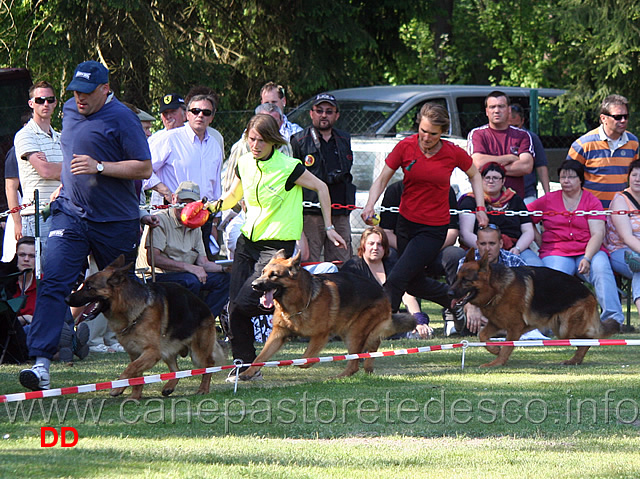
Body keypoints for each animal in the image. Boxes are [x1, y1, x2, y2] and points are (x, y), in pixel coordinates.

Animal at [66, 256, 226, 400]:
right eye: (84, 284)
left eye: (89, 287)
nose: (66, 299)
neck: (133, 312)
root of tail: (205, 307)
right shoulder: (135, 353)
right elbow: (136, 376)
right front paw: (135, 396)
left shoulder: (152, 352)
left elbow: (130, 369)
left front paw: (117, 387)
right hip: (166, 351)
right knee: (176, 370)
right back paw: (169, 387)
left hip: (197, 353)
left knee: (208, 366)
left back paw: (203, 389)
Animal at [240, 251, 416, 382]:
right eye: (263, 272)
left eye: (274, 275)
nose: (254, 285)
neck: (300, 302)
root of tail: (383, 293)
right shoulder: (278, 334)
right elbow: (260, 357)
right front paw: (247, 373)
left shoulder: (320, 335)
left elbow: (306, 357)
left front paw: (301, 364)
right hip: (349, 331)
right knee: (371, 346)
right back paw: (367, 367)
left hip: (354, 332)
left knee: (355, 362)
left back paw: (339, 376)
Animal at [450, 251, 620, 368]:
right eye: (456, 278)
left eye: (466, 280)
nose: (449, 293)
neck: (497, 289)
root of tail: (590, 292)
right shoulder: (496, 323)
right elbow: (482, 335)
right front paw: (496, 349)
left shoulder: (514, 328)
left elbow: (506, 348)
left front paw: (496, 362)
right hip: (561, 329)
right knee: (585, 342)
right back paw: (575, 360)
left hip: (566, 329)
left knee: (588, 340)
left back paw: (574, 360)